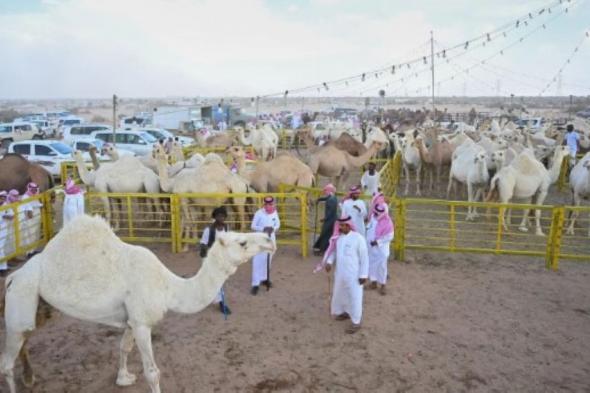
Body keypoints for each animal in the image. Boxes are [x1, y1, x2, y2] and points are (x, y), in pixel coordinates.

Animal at [0, 214, 278, 392]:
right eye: (242, 242)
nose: (269, 240)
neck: (168, 287)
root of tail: (12, 277)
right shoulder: (144, 323)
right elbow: (152, 372)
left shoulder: (132, 320)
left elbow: (124, 347)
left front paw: (123, 378)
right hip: (21, 298)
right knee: (7, 361)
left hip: (35, 306)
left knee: (26, 338)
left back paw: (30, 378)